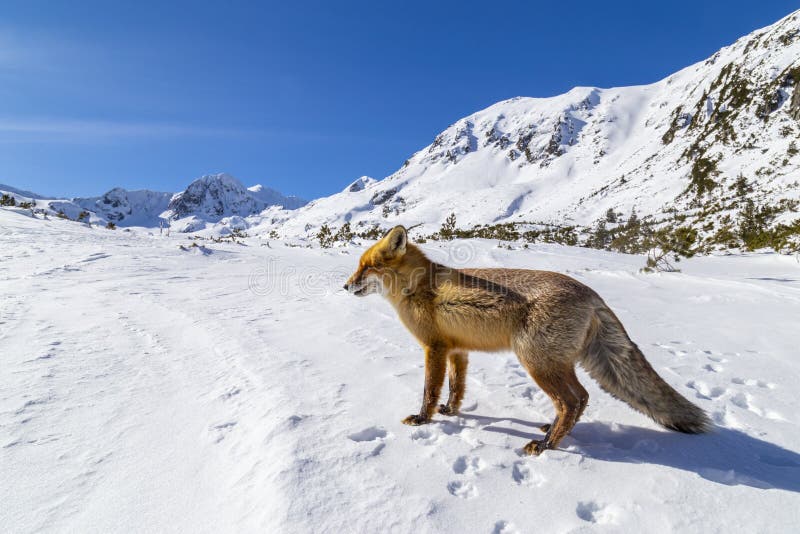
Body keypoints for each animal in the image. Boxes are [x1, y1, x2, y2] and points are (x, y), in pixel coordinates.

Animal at [344, 226, 712, 456]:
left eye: (367, 268)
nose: (345, 286)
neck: (418, 287)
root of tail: (592, 294)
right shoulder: (458, 350)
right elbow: (455, 388)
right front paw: (451, 412)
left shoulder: (433, 348)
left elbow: (429, 391)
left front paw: (424, 420)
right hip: (554, 364)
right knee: (581, 398)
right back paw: (554, 432)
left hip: (536, 363)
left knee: (572, 401)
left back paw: (546, 445)